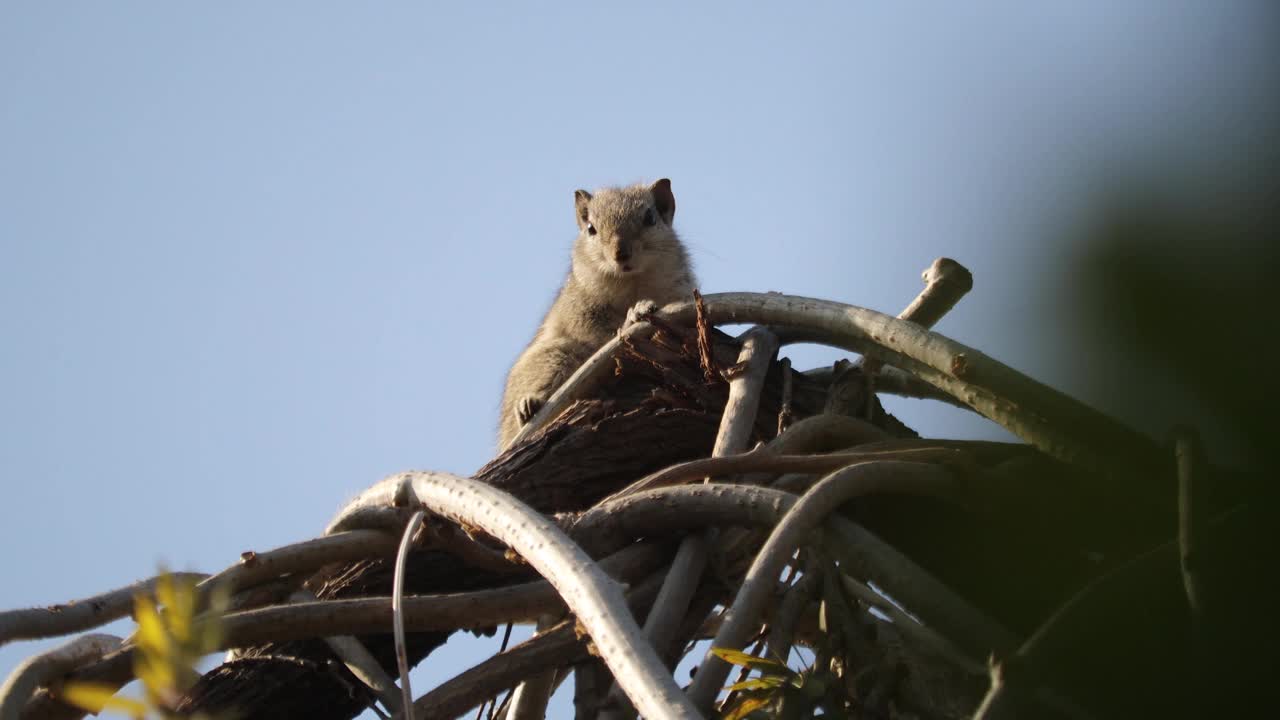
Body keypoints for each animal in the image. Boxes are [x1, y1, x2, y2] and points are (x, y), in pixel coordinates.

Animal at [499, 178, 701, 445]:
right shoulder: (578, 307)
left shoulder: (681, 293)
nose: (621, 254)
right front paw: (632, 317)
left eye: (650, 218)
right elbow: (595, 331)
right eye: (591, 229)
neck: (631, 283)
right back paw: (529, 407)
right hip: (554, 356)